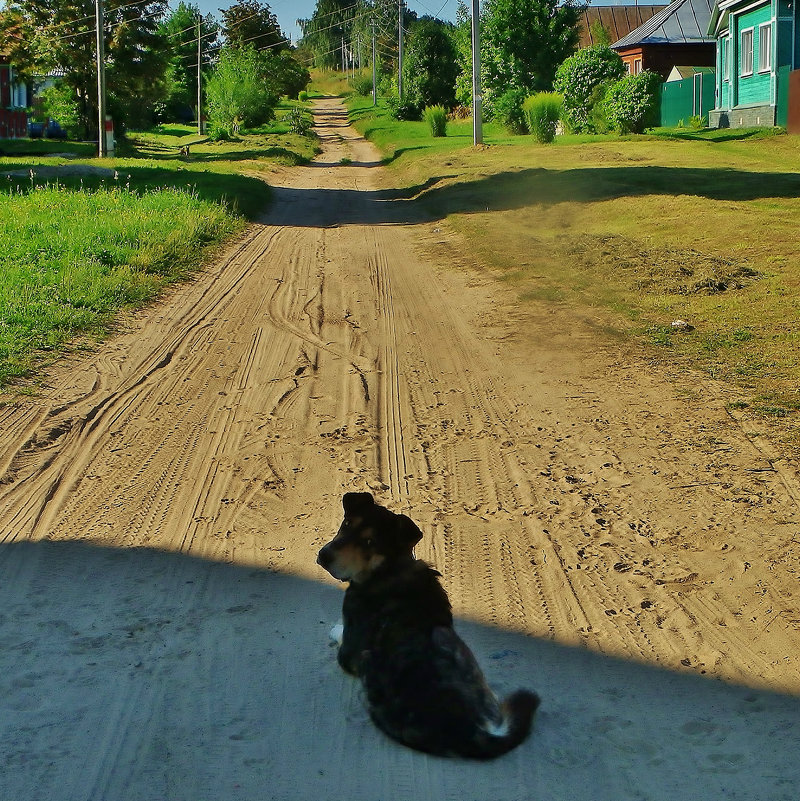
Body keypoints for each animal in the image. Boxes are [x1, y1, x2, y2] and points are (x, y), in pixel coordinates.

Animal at [316, 490, 540, 760]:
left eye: (370, 542)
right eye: (347, 523)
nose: (324, 555)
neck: (389, 567)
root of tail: (468, 732)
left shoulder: (349, 650)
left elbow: (341, 637)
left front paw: (335, 629)